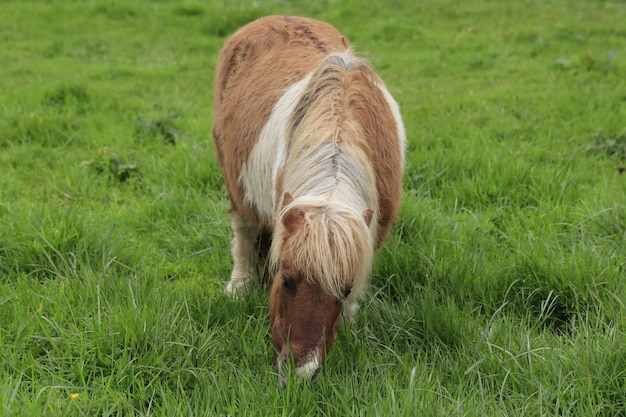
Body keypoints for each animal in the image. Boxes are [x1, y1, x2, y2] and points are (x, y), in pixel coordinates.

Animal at [210, 16, 404, 384]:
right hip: (233, 180)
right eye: (285, 280)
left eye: (343, 290)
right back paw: (239, 287)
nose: (303, 372)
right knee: (243, 232)